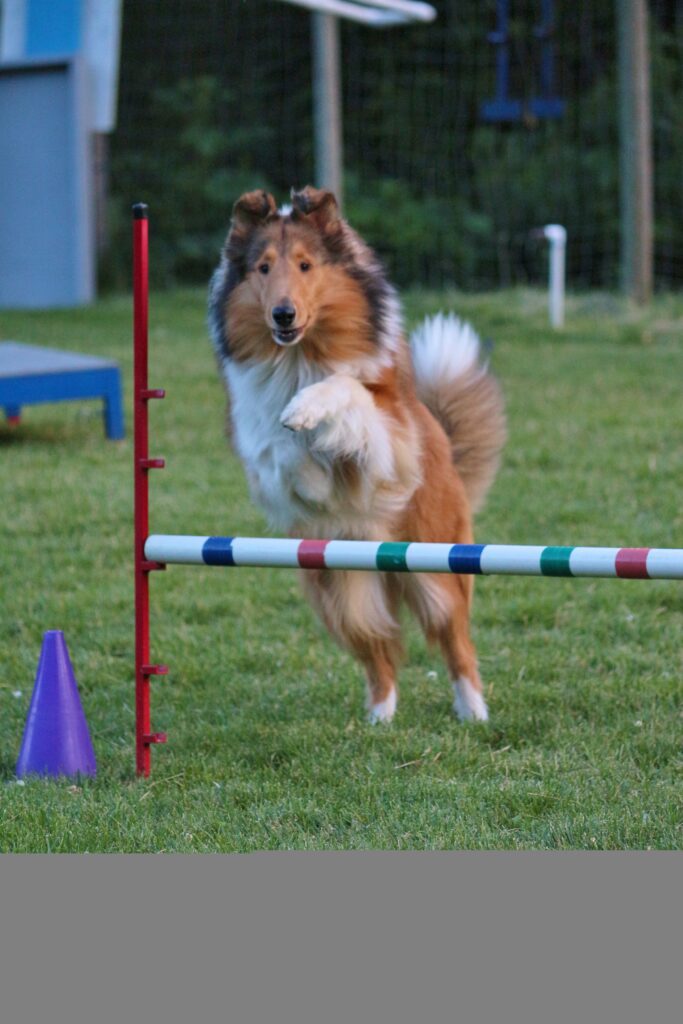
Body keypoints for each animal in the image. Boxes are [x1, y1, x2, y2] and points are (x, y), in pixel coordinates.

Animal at [205, 188, 505, 724]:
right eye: (263, 267)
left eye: (306, 265)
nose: (283, 314)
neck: (299, 355)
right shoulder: (254, 436)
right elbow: (278, 451)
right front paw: (308, 469)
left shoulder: (392, 436)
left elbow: (345, 388)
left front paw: (306, 410)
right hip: (341, 588)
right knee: (380, 650)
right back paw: (379, 718)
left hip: (435, 570)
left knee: (455, 642)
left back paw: (473, 711)